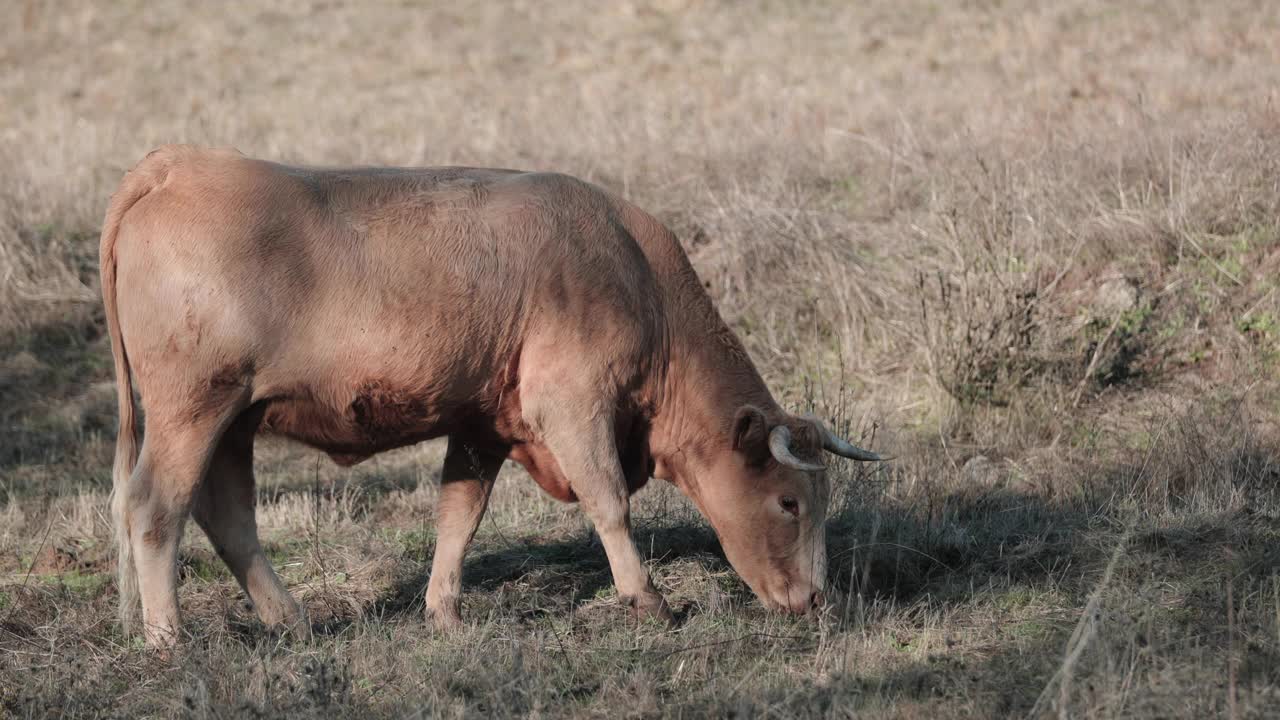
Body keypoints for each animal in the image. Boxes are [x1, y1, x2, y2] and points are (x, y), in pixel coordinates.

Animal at [99, 144, 880, 645]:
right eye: (789, 502)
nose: (817, 600)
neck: (634, 273)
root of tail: (173, 164)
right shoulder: (571, 403)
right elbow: (608, 501)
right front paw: (648, 599)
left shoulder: (481, 422)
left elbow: (458, 516)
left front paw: (443, 612)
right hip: (192, 408)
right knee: (156, 507)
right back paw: (169, 638)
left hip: (234, 417)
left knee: (225, 513)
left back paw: (290, 620)